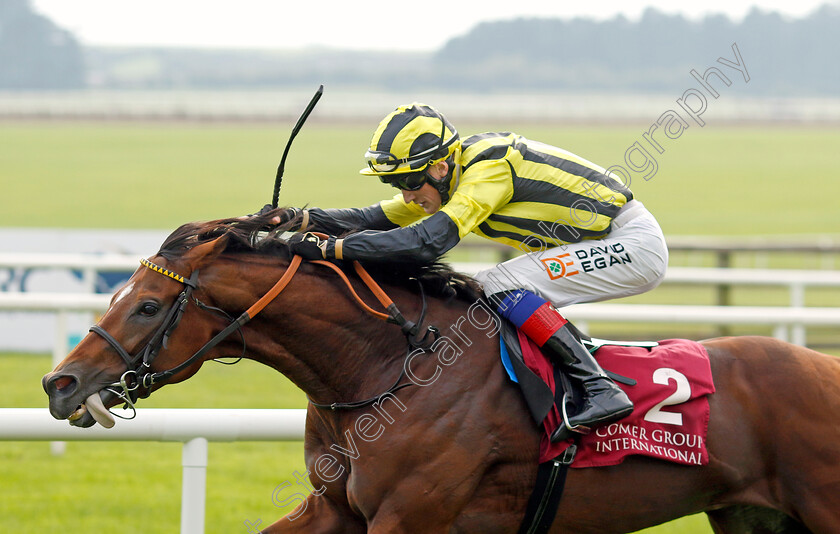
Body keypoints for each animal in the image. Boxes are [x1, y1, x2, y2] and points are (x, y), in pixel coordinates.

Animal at [44, 215, 840, 534]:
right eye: (118, 292)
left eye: (147, 305)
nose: (60, 385)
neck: (386, 370)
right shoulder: (338, 511)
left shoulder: (410, 516)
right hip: (755, 516)